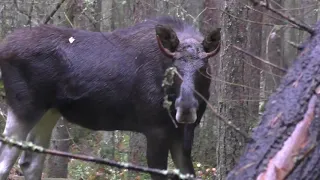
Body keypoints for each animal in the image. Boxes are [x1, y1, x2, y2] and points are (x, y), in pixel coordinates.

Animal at [0, 16, 220, 179]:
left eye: (203, 68)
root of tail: (3, 48)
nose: (186, 108)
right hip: (24, 107)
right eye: (174, 67)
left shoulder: (183, 134)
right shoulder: (155, 131)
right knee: (6, 162)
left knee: (30, 163)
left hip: (49, 112)